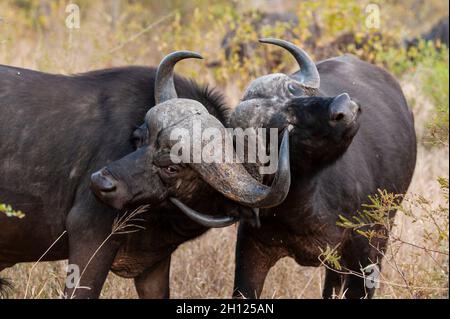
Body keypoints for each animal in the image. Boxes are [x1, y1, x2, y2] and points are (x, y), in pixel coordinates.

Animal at [0, 51, 288, 298]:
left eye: (172, 167)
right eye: (140, 139)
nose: (100, 182)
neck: (157, 217)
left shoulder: (154, 266)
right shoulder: (90, 238)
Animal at [230, 39, 416, 300]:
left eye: (294, 90)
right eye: (283, 126)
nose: (344, 106)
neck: (306, 204)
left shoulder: (365, 247)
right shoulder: (250, 247)